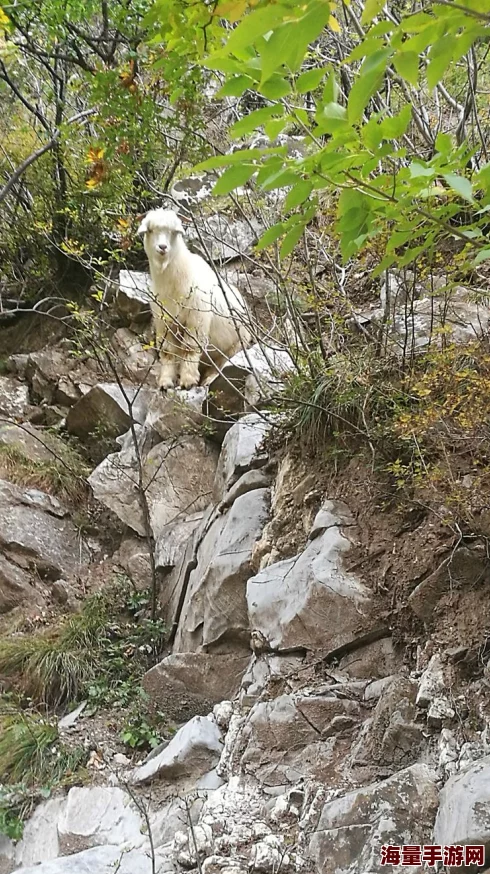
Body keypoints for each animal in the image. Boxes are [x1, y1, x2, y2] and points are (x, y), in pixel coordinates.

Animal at [138, 208, 251, 388]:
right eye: (150, 230)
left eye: (175, 232)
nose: (162, 247)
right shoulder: (164, 323)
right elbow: (168, 352)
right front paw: (165, 382)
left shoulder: (196, 320)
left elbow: (190, 348)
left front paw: (188, 381)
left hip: (237, 344)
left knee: (223, 363)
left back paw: (209, 379)